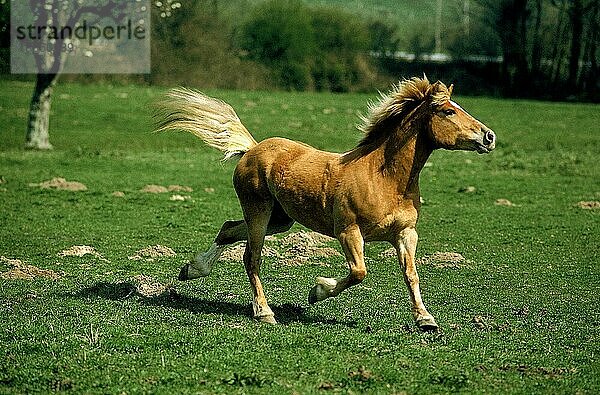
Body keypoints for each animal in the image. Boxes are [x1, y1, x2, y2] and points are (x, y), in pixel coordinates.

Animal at [155, 76, 496, 332]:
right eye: (448, 112)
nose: (489, 137)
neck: (384, 178)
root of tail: (252, 148)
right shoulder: (349, 231)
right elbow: (359, 272)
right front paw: (317, 291)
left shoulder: (405, 234)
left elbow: (410, 274)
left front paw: (426, 320)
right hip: (258, 212)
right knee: (251, 258)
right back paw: (264, 312)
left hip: (280, 219)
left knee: (228, 230)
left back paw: (192, 269)